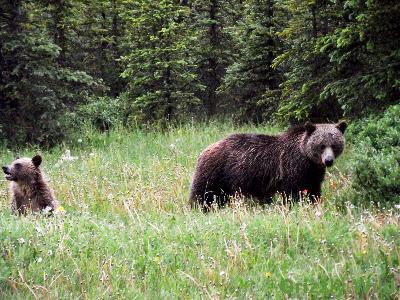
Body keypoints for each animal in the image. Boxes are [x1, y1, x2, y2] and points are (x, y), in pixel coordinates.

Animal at [189, 121, 346, 211]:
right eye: (321, 145)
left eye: (334, 144)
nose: (328, 160)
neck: (307, 159)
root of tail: (205, 149)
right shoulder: (291, 169)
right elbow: (292, 194)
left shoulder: (313, 174)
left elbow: (313, 192)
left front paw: (314, 205)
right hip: (216, 172)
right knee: (203, 194)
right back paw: (197, 208)